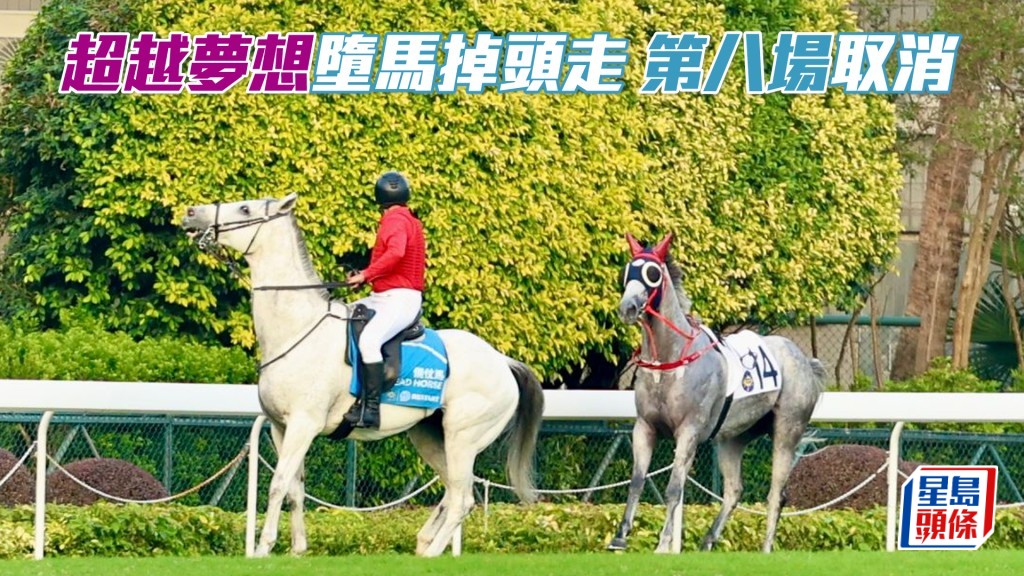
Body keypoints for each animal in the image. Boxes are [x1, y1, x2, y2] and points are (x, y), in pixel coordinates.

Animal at [179, 192, 545, 558]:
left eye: (245, 208)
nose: (191, 213)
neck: (298, 328)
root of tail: (503, 362)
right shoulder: (281, 427)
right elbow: (295, 488)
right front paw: (297, 549)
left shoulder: (303, 424)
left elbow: (278, 484)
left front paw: (262, 549)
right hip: (429, 436)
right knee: (453, 491)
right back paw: (423, 542)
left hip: (463, 439)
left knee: (463, 499)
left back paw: (431, 552)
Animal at [608, 232, 826, 554]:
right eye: (627, 271)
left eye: (652, 273)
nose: (628, 308)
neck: (670, 361)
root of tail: (804, 360)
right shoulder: (645, 427)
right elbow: (636, 481)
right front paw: (620, 537)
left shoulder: (689, 431)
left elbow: (674, 488)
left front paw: (663, 544)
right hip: (732, 438)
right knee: (734, 490)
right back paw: (708, 540)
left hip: (788, 430)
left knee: (777, 493)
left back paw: (766, 548)